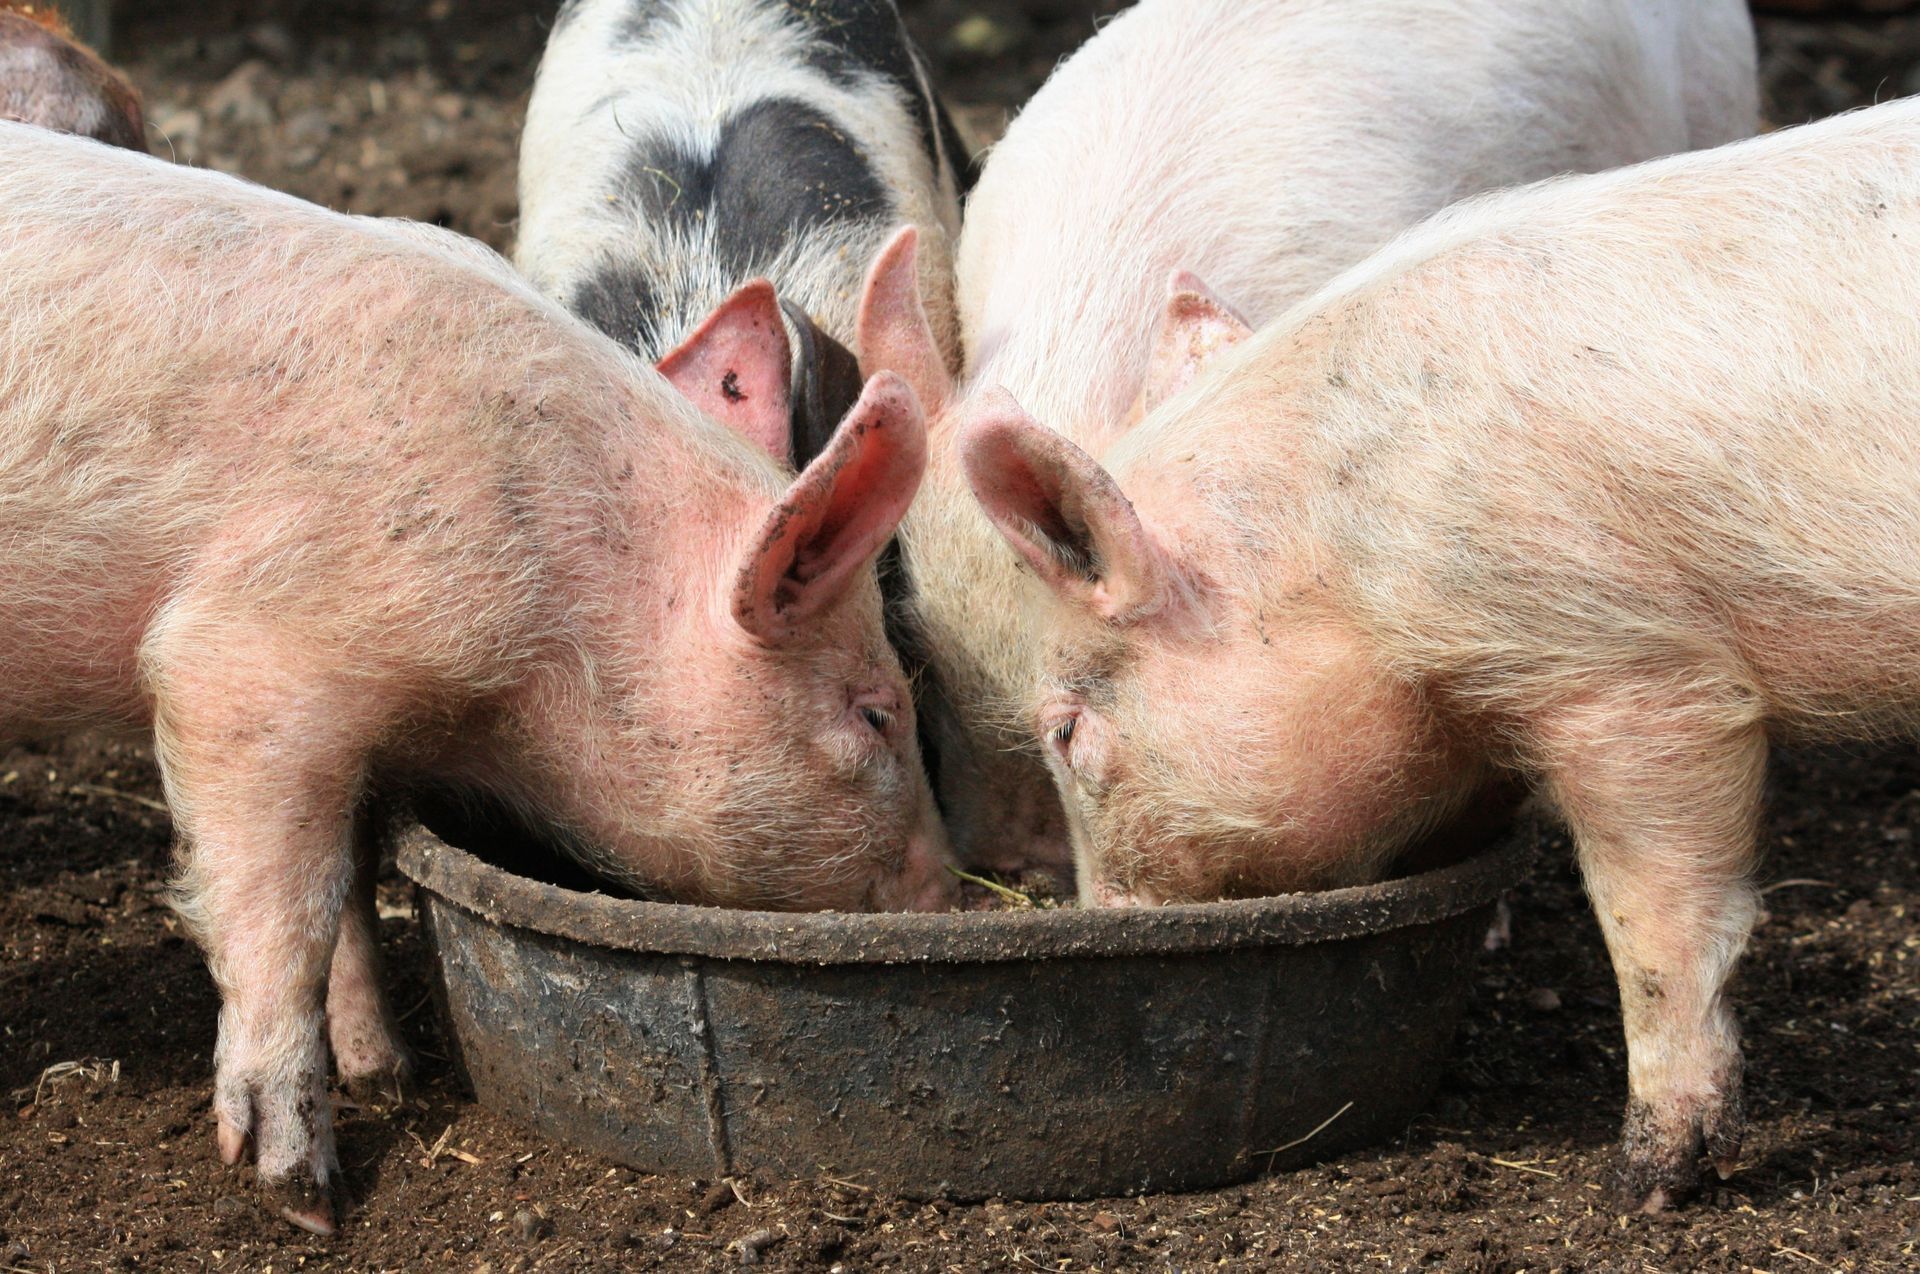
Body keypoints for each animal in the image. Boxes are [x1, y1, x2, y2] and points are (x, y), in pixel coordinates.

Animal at [0, 121, 953, 1233]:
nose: (949, 895)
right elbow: (287, 901)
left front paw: (387, 1072)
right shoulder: (250, 657)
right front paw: (306, 1195)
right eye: (877, 713)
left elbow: (350, 880)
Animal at [960, 96, 1920, 1209]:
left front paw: (1641, 1185)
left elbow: (1656, 921)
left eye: (1067, 733)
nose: (1104, 918)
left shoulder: (1626, 665)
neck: (1341, 554)